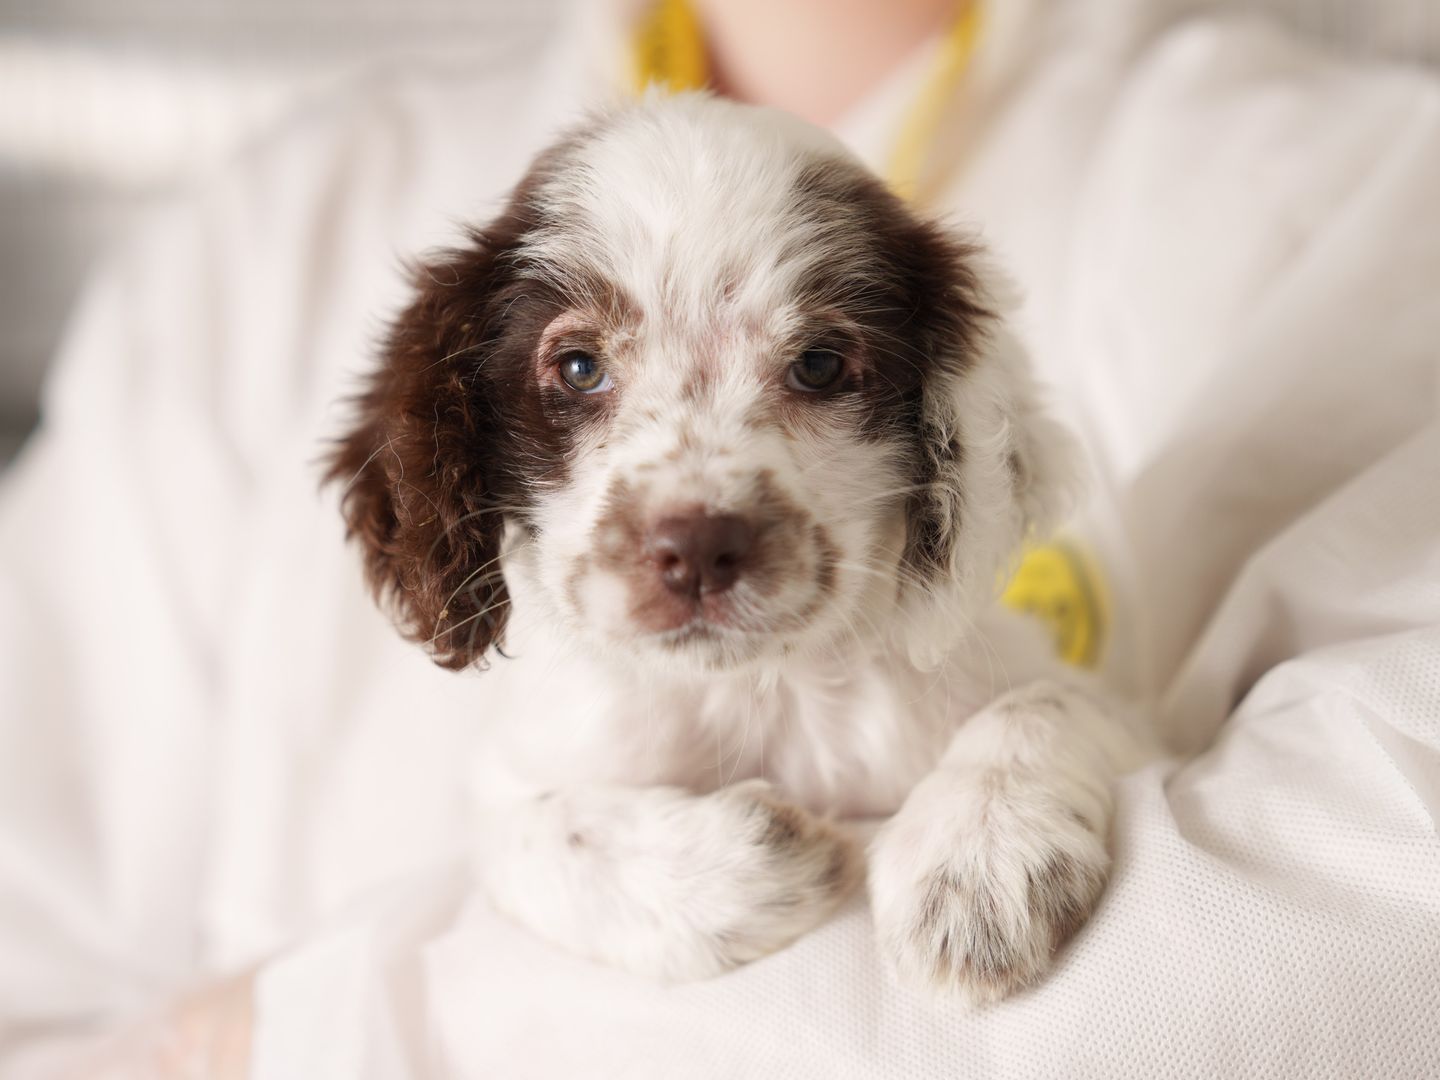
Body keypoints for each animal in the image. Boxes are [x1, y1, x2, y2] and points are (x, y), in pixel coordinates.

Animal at [326, 92, 1146, 1008]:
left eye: (819, 364)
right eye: (577, 368)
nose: (697, 549)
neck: (763, 693)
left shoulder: (1127, 719)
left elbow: (1044, 702)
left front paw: (973, 866)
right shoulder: (510, 779)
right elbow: (531, 835)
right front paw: (755, 864)